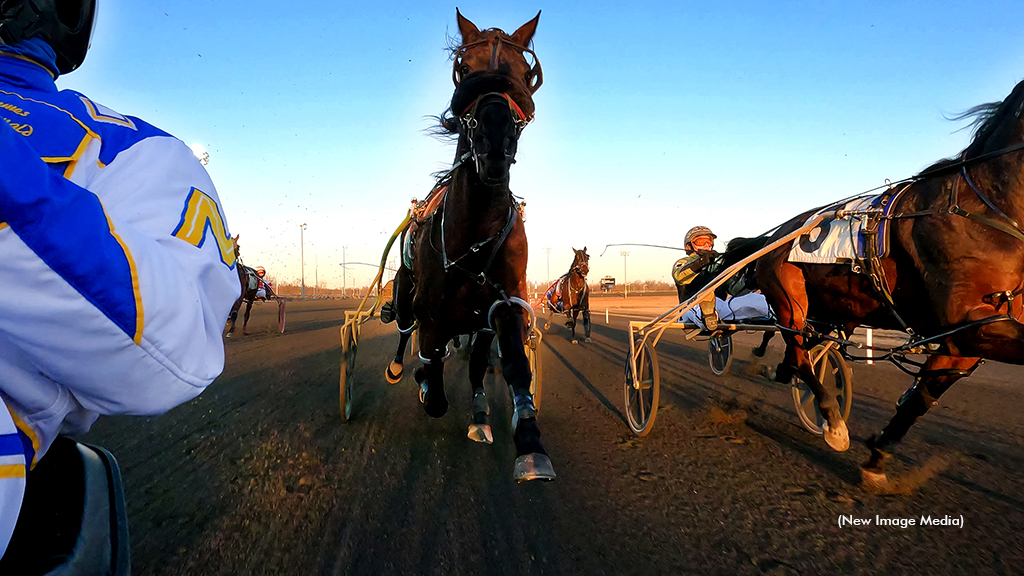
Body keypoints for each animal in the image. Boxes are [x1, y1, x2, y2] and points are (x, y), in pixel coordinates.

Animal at [380, 11, 552, 481]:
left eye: (524, 74)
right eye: (466, 69)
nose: (495, 138)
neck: (473, 233)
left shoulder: (503, 301)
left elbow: (512, 363)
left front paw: (528, 440)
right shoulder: (433, 311)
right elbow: (434, 379)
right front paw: (423, 382)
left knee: (475, 364)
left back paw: (478, 415)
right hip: (406, 293)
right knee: (405, 330)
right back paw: (403, 369)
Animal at [749, 78, 1024, 485]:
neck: (987, 209)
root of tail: (776, 235)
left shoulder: (971, 334)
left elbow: (922, 396)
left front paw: (877, 456)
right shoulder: (970, 323)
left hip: (834, 311)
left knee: (797, 356)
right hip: (790, 298)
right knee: (799, 355)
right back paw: (831, 418)